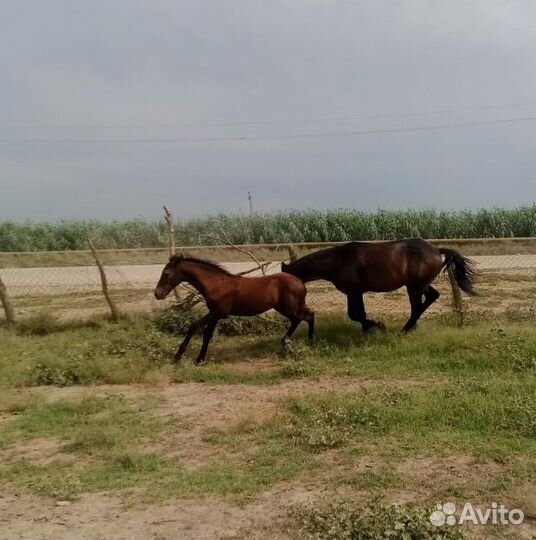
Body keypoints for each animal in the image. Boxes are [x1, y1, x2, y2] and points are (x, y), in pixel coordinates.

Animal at [154, 255, 314, 364]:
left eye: (166, 273)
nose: (157, 294)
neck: (216, 284)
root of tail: (300, 281)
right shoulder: (214, 314)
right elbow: (207, 334)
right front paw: (198, 359)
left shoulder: (218, 313)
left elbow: (195, 326)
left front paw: (180, 356)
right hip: (285, 307)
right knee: (300, 319)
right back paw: (286, 341)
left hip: (291, 307)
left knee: (308, 316)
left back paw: (310, 342)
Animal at [282, 238, 476, 332]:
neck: (338, 261)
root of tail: (436, 250)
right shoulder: (353, 292)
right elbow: (356, 314)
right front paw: (370, 328)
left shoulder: (355, 291)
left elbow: (356, 314)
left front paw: (376, 326)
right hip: (419, 284)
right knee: (431, 297)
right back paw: (410, 327)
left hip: (414, 287)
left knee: (416, 307)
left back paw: (405, 330)